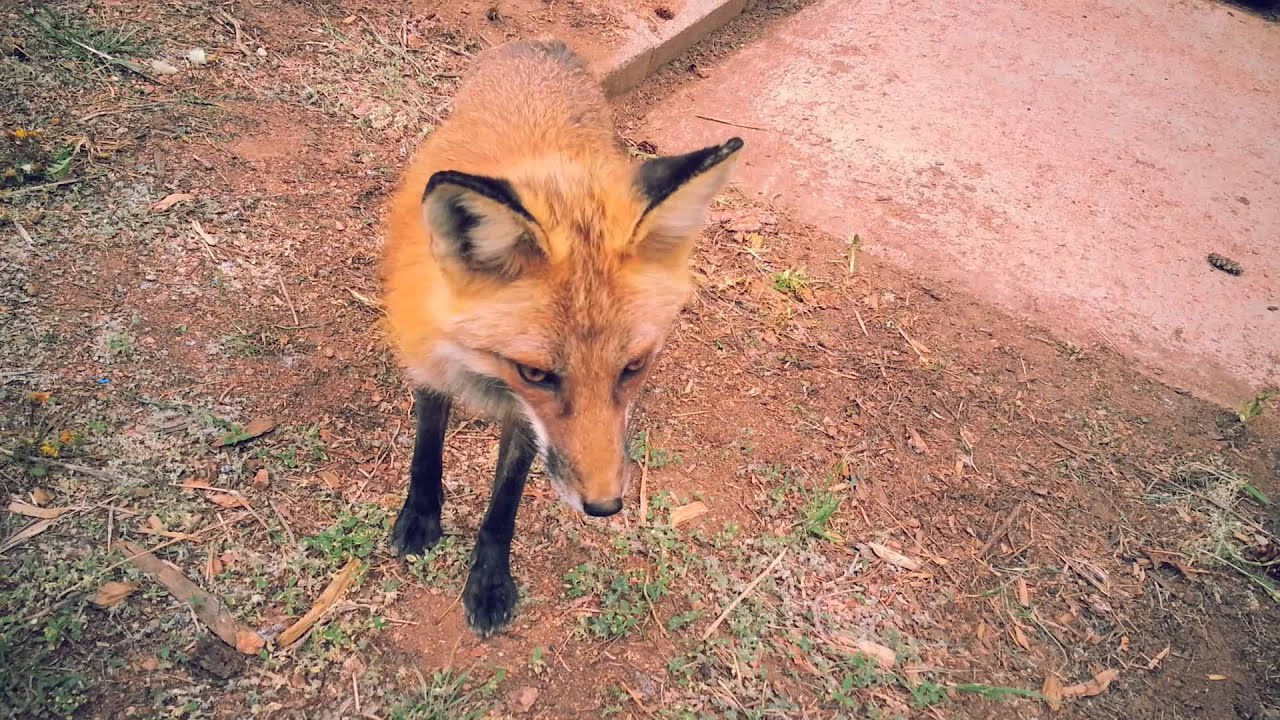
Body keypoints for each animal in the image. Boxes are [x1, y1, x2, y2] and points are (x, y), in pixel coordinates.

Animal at [380, 38, 742, 636]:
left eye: (633, 367)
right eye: (535, 373)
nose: (605, 506)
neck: (485, 375)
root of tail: (543, 46)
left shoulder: (528, 423)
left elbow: (504, 503)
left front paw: (489, 582)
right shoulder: (428, 358)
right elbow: (427, 446)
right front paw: (420, 516)